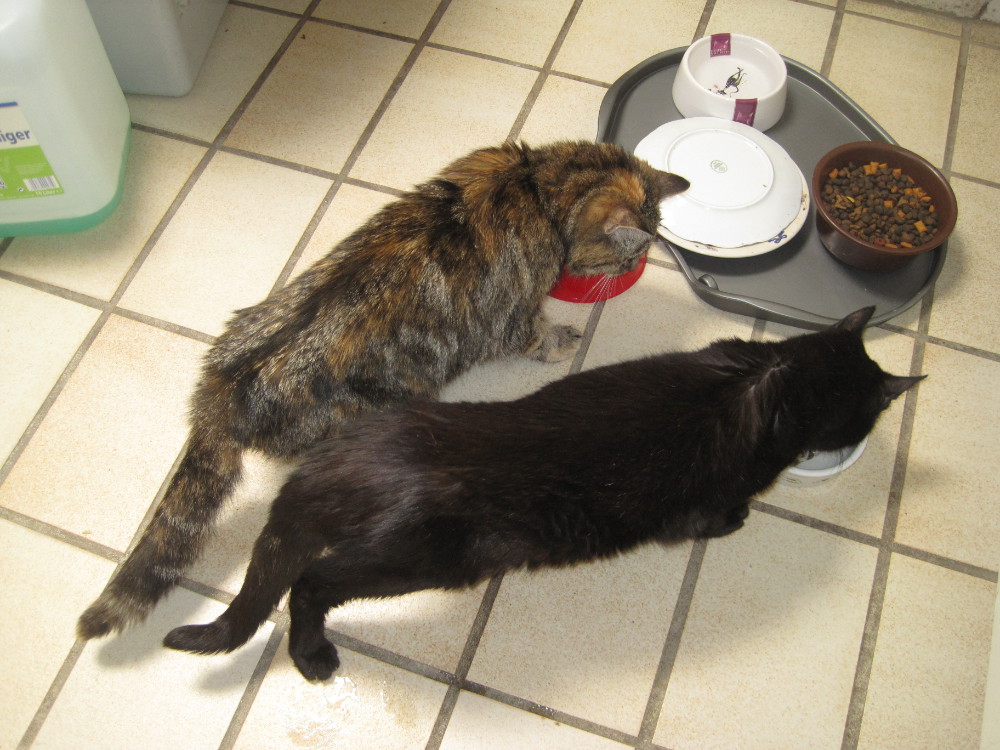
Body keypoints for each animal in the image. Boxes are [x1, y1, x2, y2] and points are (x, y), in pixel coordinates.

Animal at [77, 140, 689, 640]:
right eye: (630, 254)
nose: (634, 263)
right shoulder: (511, 319)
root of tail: (222, 389)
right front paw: (562, 339)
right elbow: (535, 334)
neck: (533, 179)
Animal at [162, 306, 923, 681]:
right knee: (310, 583)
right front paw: (738, 519)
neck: (773, 376)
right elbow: (719, 517)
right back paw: (311, 655)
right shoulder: (698, 510)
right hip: (426, 557)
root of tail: (332, 464)